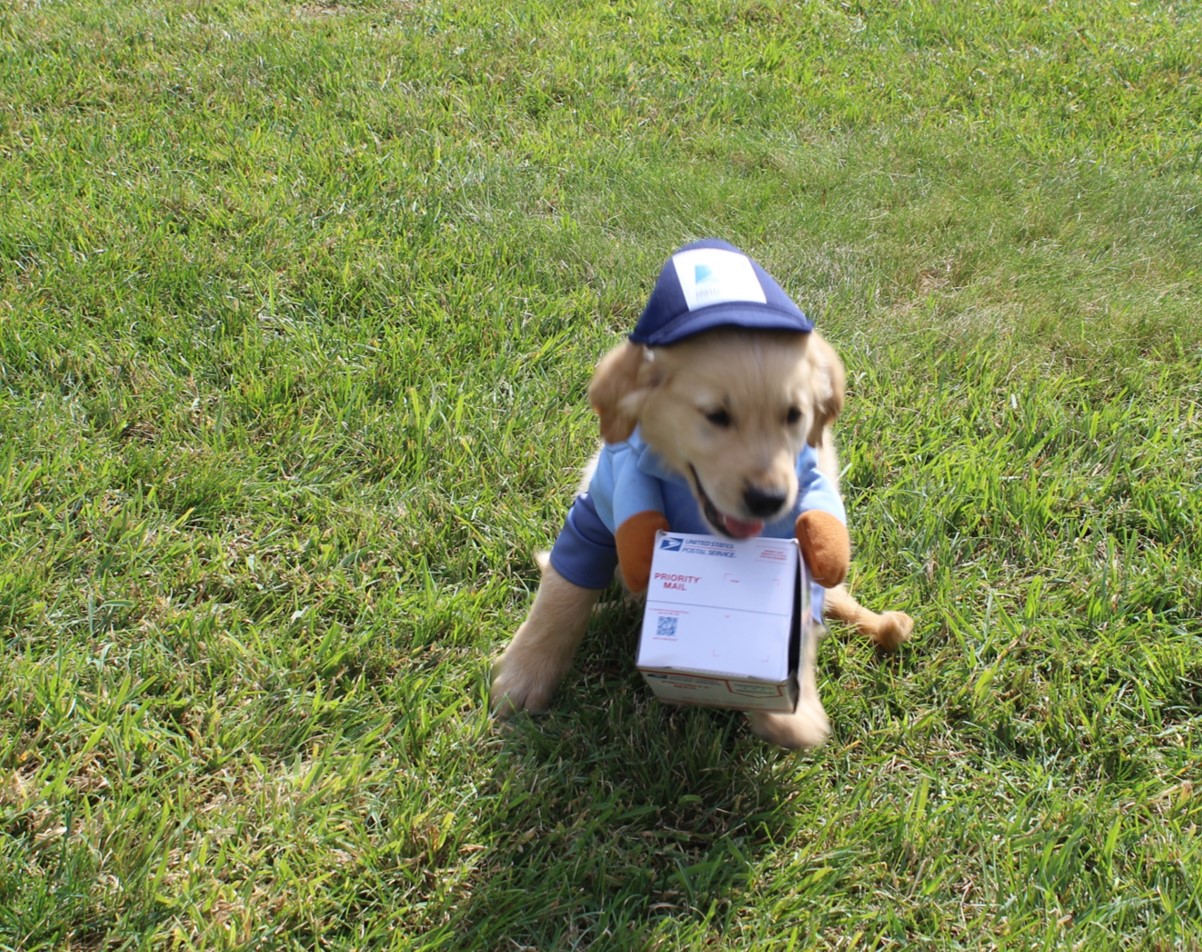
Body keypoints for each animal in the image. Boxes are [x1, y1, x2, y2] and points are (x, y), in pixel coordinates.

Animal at [488, 240, 908, 750]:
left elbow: (802, 627)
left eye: (794, 415)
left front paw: (793, 712)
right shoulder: (593, 515)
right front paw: (524, 677)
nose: (769, 500)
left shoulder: (800, 543)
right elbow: (561, 597)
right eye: (716, 416)